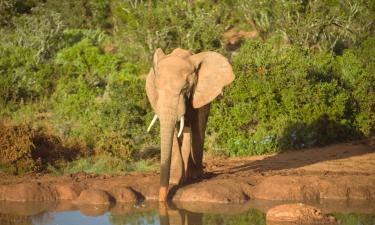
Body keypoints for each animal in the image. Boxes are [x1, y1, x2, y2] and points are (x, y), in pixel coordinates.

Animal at [145, 47, 235, 200]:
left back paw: (193, 175)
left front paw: (195, 177)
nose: (162, 198)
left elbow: (197, 125)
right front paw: (175, 181)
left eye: (185, 89)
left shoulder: (199, 92)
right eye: (157, 89)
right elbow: (174, 130)